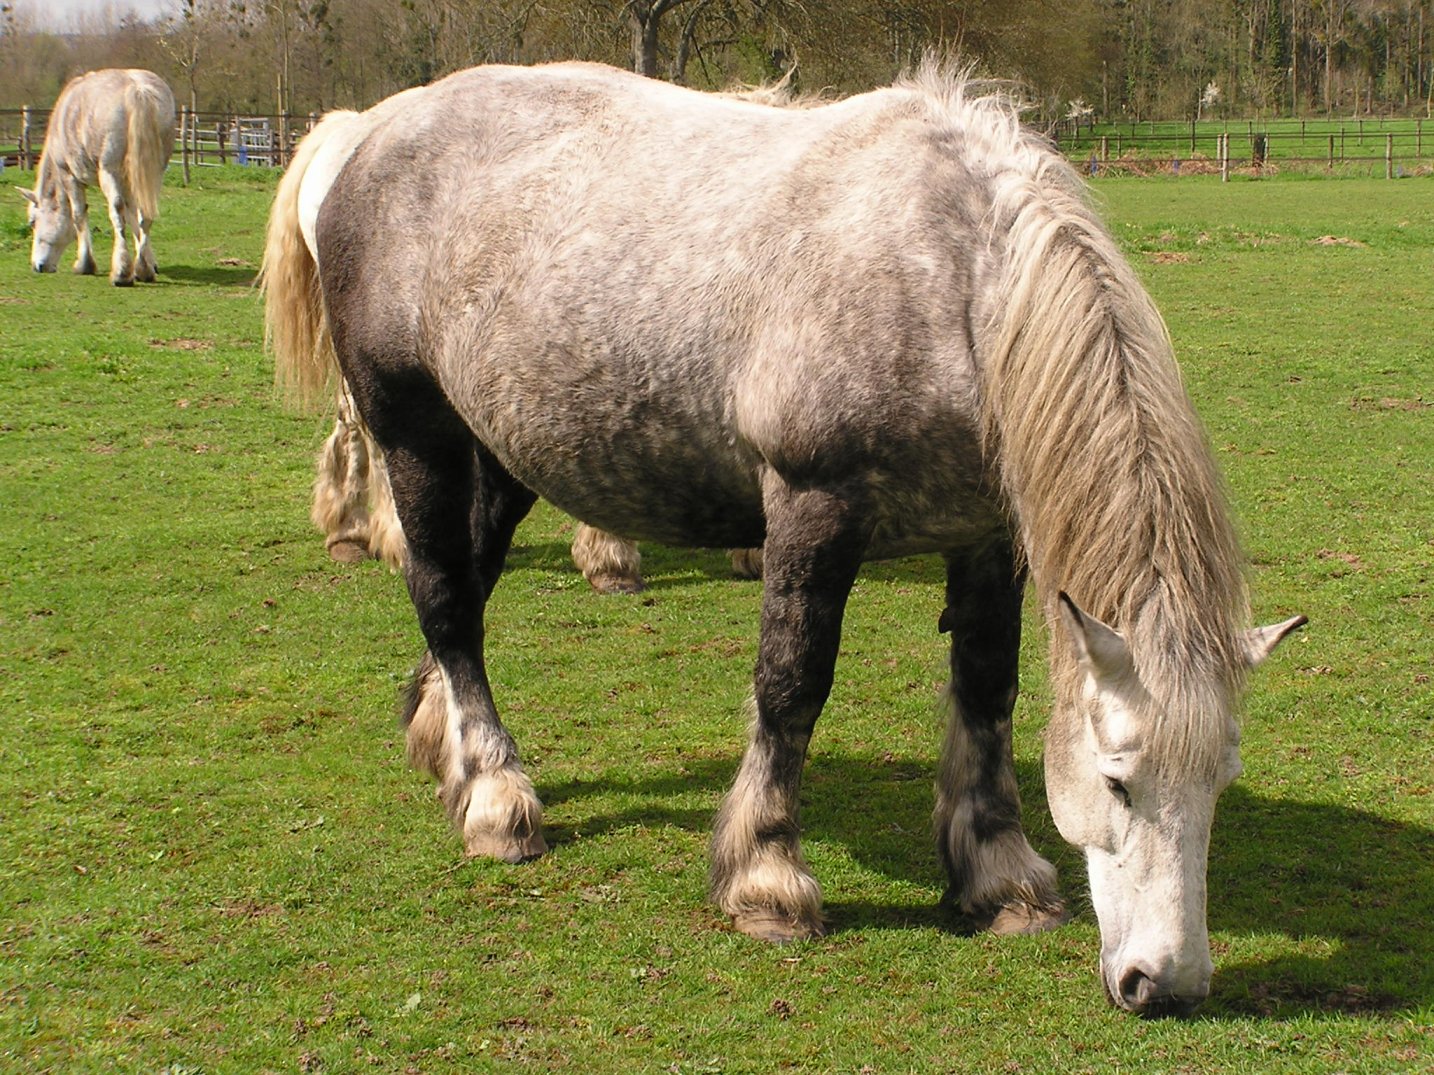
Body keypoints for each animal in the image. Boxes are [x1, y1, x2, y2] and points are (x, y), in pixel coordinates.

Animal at [17, 67, 174, 286]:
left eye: (32, 222)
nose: (38, 266)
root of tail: (137, 89)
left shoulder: (69, 176)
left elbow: (78, 216)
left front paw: (85, 264)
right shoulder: (131, 181)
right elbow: (133, 217)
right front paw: (147, 263)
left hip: (109, 173)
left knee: (117, 212)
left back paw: (121, 273)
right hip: (155, 172)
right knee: (146, 214)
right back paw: (143, 270)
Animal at [258, 60, 1302, 1020]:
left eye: (1220, 783)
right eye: (1120, 783)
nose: (1166, 981)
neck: (950, 283)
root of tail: (373, 131)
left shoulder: (985, 534)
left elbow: (987, 692)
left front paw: (999, 873)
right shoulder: (813, 504)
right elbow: (792, 686)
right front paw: (766, 878)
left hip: (505, 449)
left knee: (464, 592)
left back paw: (445, 744)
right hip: (413, 431)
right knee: (443, 596)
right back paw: (496, 798)